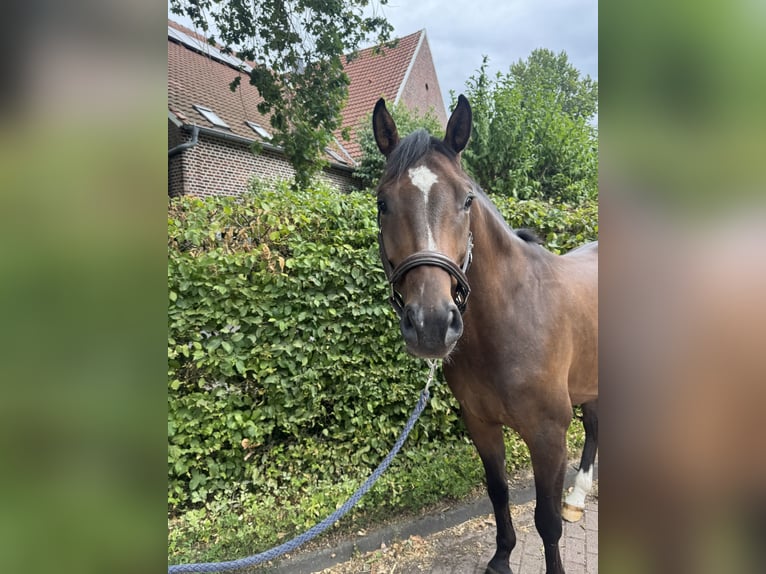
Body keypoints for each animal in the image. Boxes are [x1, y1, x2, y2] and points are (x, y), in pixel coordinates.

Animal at [372, 95, 598, 574]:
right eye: (382, 202)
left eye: (466, 201)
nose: (432, 324)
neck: (511, 319)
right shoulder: (481, 424)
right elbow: (498, 492)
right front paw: (501, 556)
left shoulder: (548, 434)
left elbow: (546, 520)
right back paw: (577, 496)